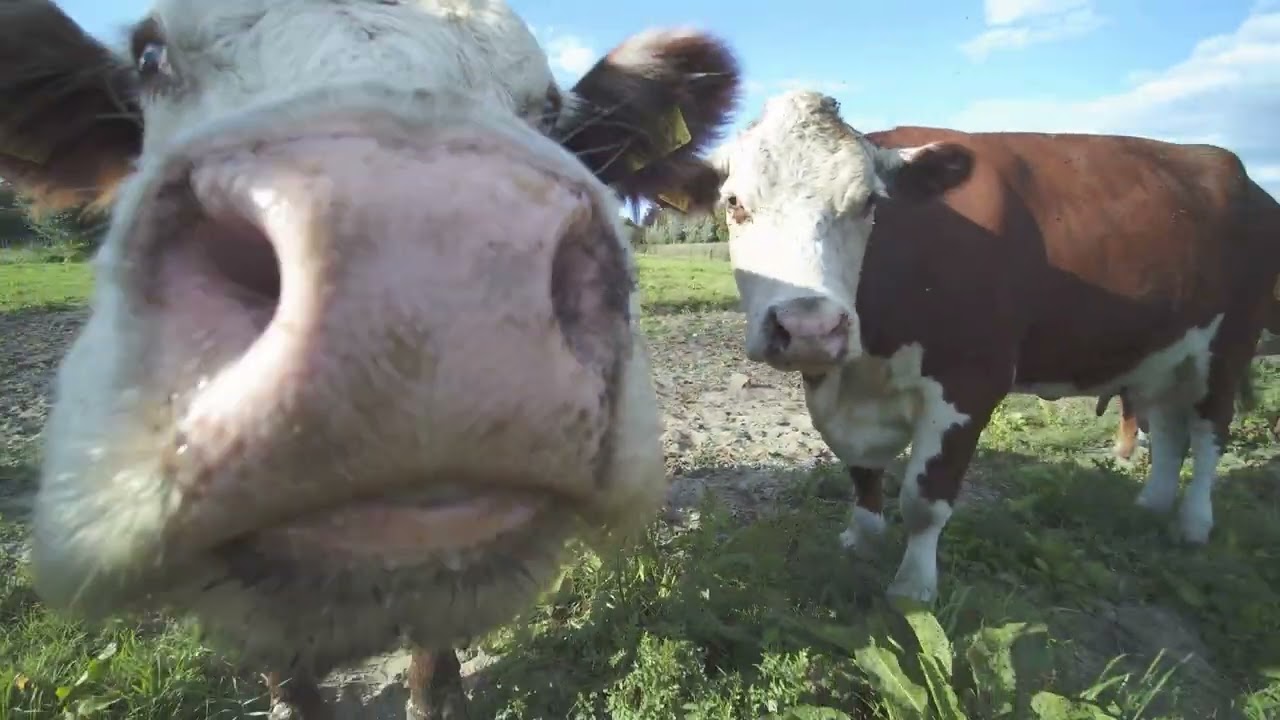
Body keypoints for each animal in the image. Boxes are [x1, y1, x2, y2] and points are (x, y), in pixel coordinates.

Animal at [656, 89, 1280, 605]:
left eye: (868, 204)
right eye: (734, 203)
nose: (809, 327)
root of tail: (1238, 174)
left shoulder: (970, 381)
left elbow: (924, 499)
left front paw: (913, 588)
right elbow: (862, 473)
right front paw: (861, 539)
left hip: (1231, 345)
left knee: (1208, 433)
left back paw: (1193, 524)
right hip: (1163, 352)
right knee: (1170, 429)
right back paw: (1150, 506)